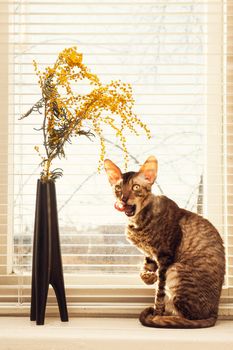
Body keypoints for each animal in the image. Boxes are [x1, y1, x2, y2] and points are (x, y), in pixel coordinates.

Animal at [104, 156, 225, 328]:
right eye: (118, 188)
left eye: (135, 187)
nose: (123, 199)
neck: (137, 221)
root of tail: (215, 312)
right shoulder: (151, 254)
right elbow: (146, 268)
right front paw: (148, 278)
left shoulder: (165, 256)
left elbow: (159, 293)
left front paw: (156, 312)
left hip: (176, 269)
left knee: (187, 318)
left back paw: (159, 318)